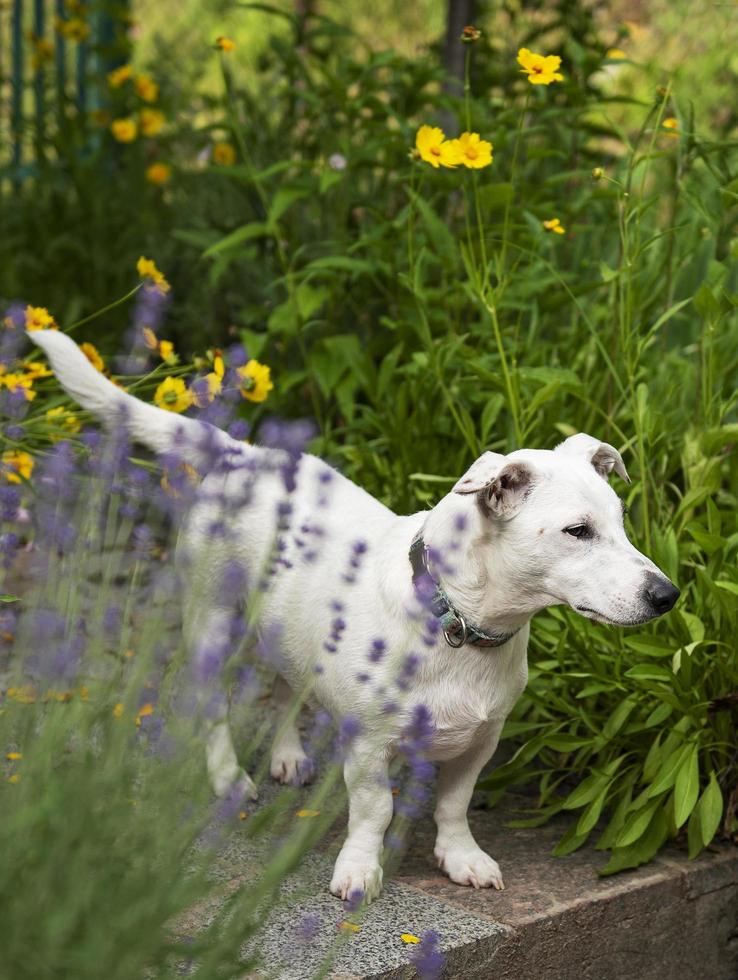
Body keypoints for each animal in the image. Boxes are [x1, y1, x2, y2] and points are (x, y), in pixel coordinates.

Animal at [28, 332, 676, 904]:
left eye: (621, 520)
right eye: (577, 531)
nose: (667, 595)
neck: (459, 626)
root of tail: (243, 454)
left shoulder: (481, 740)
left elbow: (454, 804)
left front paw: (460, 857)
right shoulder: (368, 747)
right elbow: (374, 810)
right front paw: (360, 871)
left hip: (284, 629)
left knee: (283, 685)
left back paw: (287, 753)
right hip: (212, 621)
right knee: (214, 704)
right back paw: (228, 778)